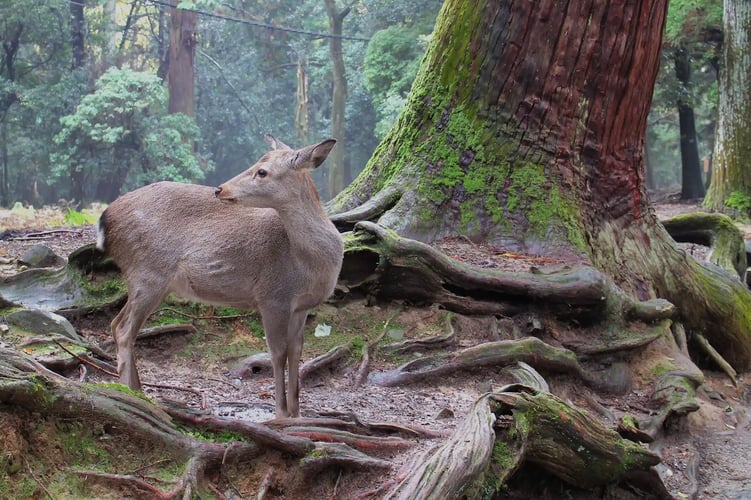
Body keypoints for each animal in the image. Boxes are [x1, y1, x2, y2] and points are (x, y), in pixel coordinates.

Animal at [96, 135, 343, 418]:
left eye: (262, 171)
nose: (220, 189)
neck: (309, 266)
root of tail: (105, 218)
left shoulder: (300, 307)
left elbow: (296, 352)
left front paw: (297, 413)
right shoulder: (272, 297)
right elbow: (277, 353)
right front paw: (281, 414)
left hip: (145, 279)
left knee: (116, 324)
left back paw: (138, 391)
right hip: (147, 273)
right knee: (124, 330)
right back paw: (132, 395)